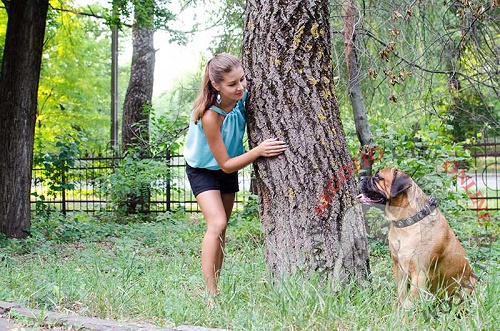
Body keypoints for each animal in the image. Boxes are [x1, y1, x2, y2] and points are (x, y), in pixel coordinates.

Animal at [356, 169, 476, 308]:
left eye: (378, 177)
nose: (360, 178)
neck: (406, 221)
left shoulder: (419, 273)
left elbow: (410, 301)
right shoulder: (399, 268)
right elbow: (401, 294)